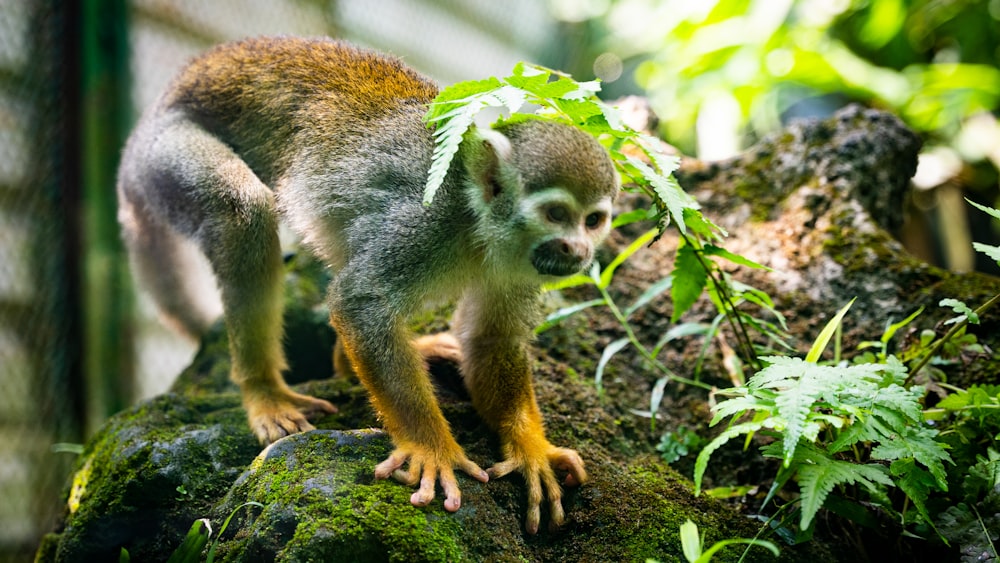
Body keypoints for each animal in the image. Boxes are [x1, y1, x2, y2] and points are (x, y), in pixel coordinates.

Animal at [117, 37, 616, 536]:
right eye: (555, 213)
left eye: (593, 220)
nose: (577, 249)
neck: (479, 224)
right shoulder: (423, 223)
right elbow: (361, 302)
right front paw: (431, 447)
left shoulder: (520, 267)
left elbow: (492, 339)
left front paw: (532, 450)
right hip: (164, 152)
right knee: (243, 212)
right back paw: (265, 392)